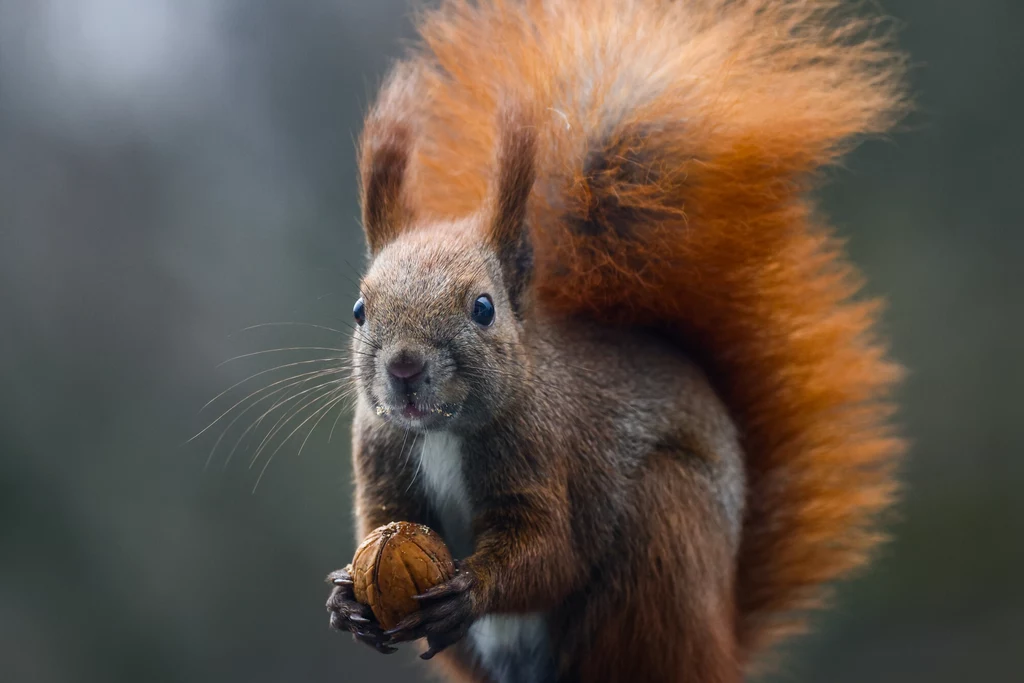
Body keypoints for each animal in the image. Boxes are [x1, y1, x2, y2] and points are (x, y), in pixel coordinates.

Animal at [323, 1, 909, 683]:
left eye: (484, 308)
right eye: (360, 309)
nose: (405, 368)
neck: (443, 433)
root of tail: (719, 642)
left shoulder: (546, 453)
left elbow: (551, 555)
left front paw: (471, 590)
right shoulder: (382, 462)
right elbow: (381, 524)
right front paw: (345, 601)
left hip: (663, 541)